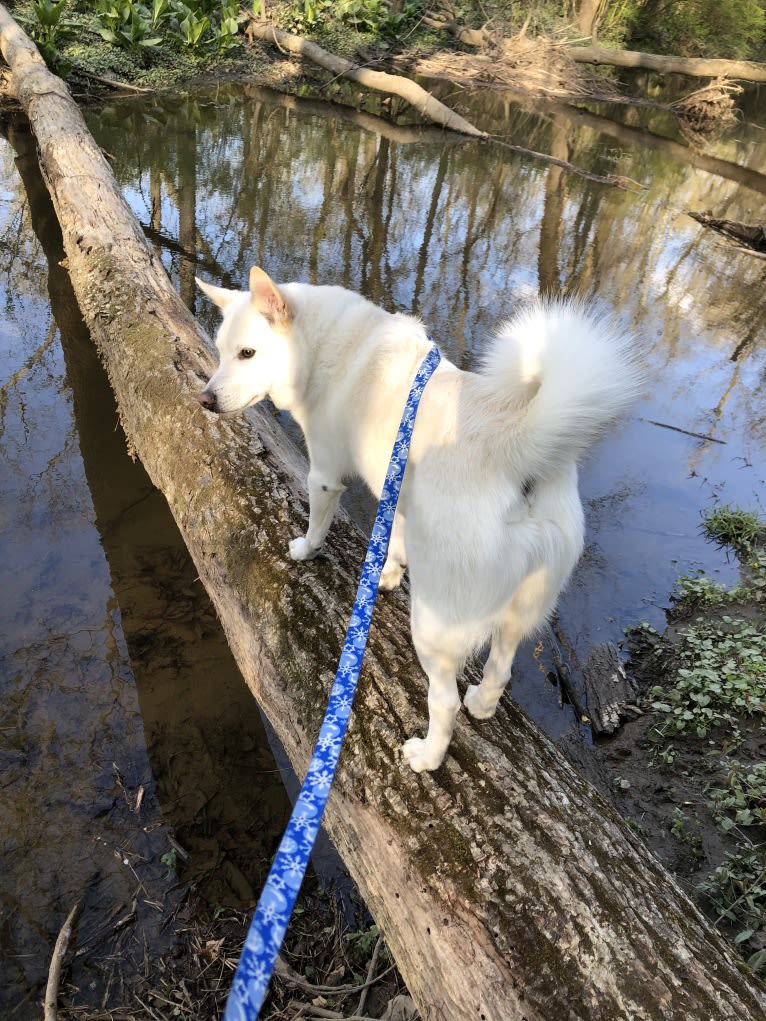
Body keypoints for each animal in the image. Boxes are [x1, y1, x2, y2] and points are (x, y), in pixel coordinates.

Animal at [198, 267, 641, 767]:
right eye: (221, 351)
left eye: (247, 353)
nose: (205, 400)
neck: (329, 345)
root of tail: (516, 449)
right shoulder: (398, 495)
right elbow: (394, 541)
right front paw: (387, 575)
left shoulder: (325, 475)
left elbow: (317, 526)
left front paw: (304, 551)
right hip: (524, 605)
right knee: (501, 666)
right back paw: (482, 703)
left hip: (434, 625)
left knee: (444, 701)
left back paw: (427, 757)